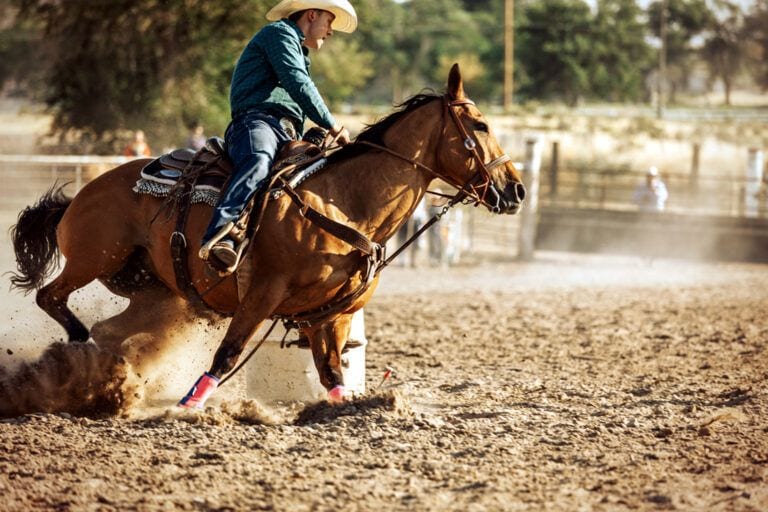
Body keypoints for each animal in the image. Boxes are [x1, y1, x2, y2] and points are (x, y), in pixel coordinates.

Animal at [10, 64, 525, 406]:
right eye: (480, 124)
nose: (515, 189)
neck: (341, 201)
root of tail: (83, 192)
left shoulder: (331, 317)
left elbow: (332, 374)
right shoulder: (261, 294)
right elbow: (227, 354)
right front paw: (190, 405)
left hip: (154, 292)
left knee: (109, 330)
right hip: (94, 258)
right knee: (52, 298)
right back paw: (78, 352)